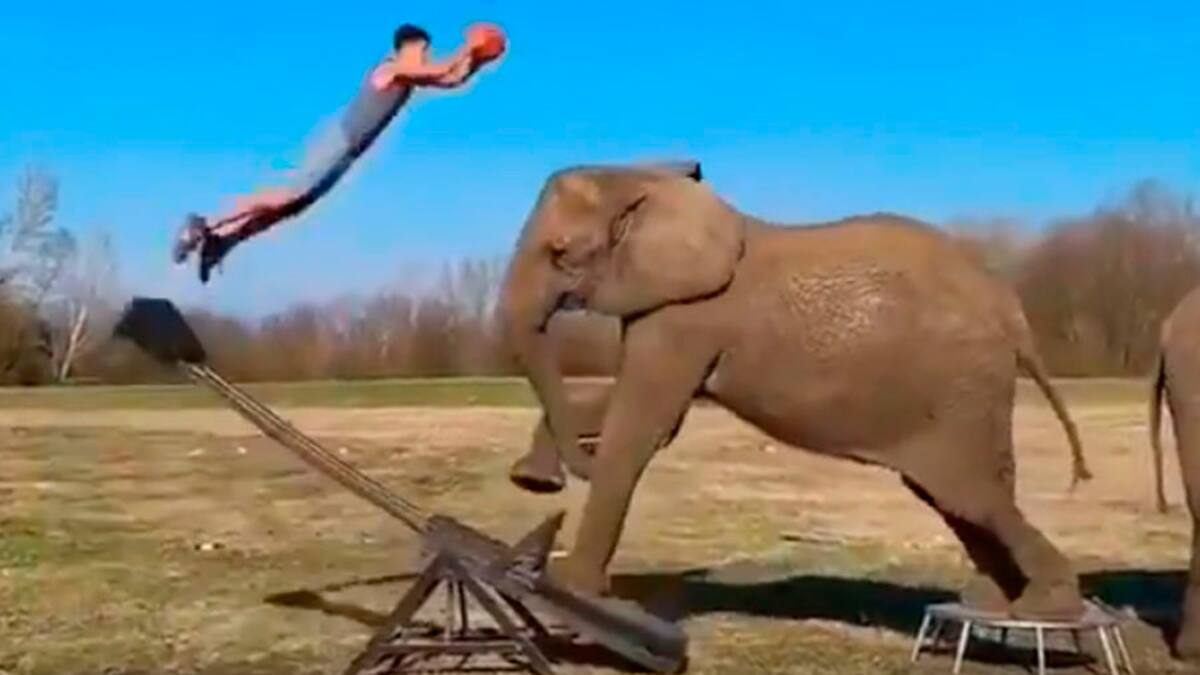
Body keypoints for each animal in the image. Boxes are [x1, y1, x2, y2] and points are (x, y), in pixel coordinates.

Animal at [499, 161, 1093, 619]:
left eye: (560, 253)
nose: (549, 480)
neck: (637, 178)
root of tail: (1012, 311)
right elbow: (643, 411)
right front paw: (534, 478)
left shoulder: (689, 315)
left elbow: (642, 422)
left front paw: (571, 592)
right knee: (957, 497)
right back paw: (991, 603)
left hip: (960, 387)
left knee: (974, 495)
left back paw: (1046, 608)